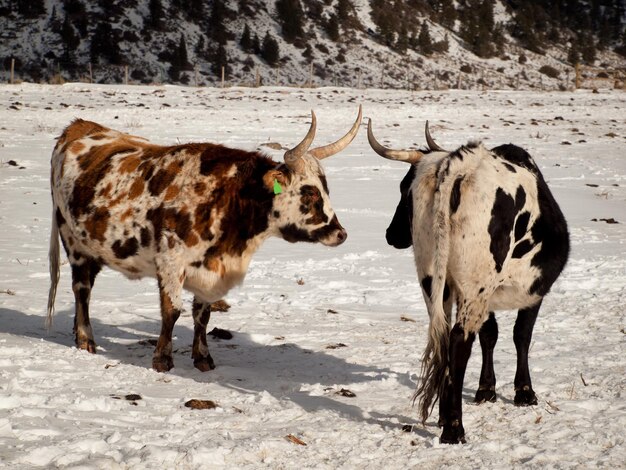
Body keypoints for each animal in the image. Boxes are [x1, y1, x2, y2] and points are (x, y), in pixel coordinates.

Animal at [48, 108, 360, 372]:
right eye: (310, 192)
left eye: (325, 189)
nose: (340, 233)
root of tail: (77, 127)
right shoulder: (171, 262)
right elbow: (172, 311)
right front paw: (162, 359)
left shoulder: (209, 270)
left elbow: (202, 314)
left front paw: (203, 357)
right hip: (73, 242)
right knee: (82, 290)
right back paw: (86, 338)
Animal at [368, 119, 568, 442]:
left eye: (403, 190)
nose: (391, 234)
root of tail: (459, 164)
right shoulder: (532, 291)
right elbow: (520, 335)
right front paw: (524, 392)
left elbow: (491, 334)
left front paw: (486, 389)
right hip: (474, 287)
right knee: (460, 341)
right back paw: (454, 429)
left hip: (435, 282)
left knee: (444, 337)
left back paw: (442, 417)